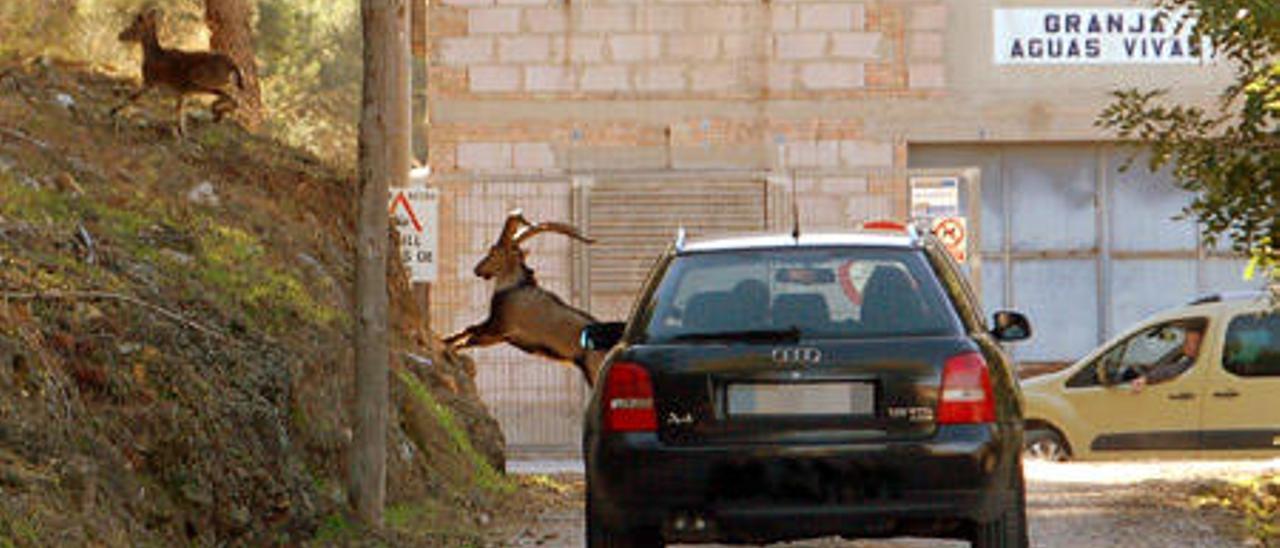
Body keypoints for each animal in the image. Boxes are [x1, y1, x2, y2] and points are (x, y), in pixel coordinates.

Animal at [110, 7, 244, 137]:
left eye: (134, 26)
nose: (120, 35)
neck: (154, 55)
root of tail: (232, 65)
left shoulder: (150, 82)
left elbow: (133, 97)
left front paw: (113, 111)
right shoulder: (180, 93)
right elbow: (179, 112)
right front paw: (182, 133)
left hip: (202, 82)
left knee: (229, 96)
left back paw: (216, 112)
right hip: (215, 83)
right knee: (234, 97)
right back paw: (218, 115)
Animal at [445, 209, 604, 384]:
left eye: (494, 251)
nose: (477, 270)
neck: (514, 286)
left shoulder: (499, 326)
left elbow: (469, 334)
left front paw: (446, 344)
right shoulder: (502, 336)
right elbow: (469, 333)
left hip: (594, 368)